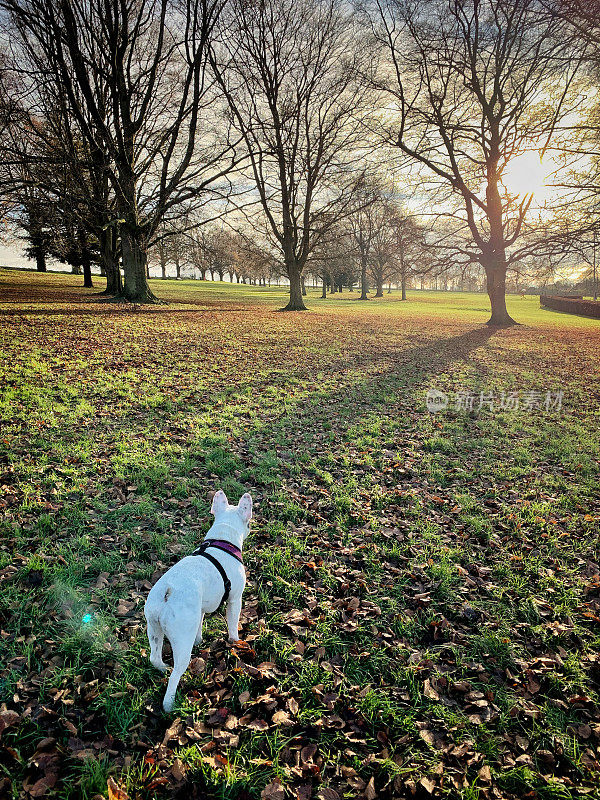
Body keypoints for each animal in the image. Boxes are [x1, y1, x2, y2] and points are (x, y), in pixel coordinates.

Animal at [144, 490, 252, 708]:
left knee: (154, 657)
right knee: (176, 674)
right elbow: (232, 624)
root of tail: (167, 593)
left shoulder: (200, 608)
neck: (222, 540)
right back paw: (169, 704)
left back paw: (163, 669)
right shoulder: (235, 599)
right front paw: (235, 643)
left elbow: (200, 624)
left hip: (154, 627)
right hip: (180, 639)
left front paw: (200, 640)